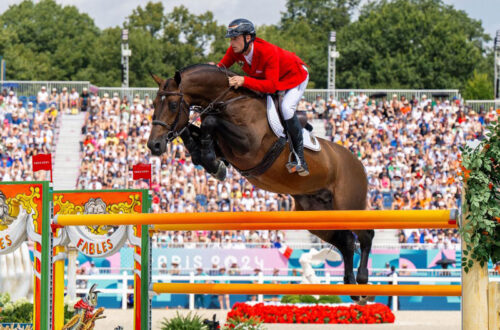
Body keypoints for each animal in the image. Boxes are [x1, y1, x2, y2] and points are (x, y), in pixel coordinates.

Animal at [146, 63, 374, 302]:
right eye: (154, 104)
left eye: (173, 104)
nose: (154, 145)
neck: (229, 101)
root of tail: (359, 163)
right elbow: (193, 131)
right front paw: (209, 161)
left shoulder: (250, 146)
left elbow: (209, 122)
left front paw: (209, 160)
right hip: (317, 214)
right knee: (346, 241)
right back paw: (351, 286)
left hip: (348, 205)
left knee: (366, 235)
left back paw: (363, 281)